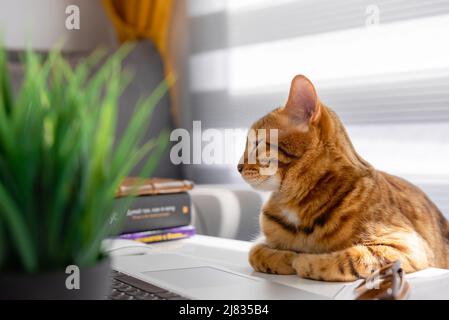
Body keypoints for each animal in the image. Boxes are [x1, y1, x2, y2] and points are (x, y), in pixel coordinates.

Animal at [238, 74, 448, 280]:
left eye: (257, 144)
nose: (238, 167)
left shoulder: (405, 246)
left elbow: (348, 258)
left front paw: (305, 260)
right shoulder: (261, 242)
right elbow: (255, 252)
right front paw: (285, 257)